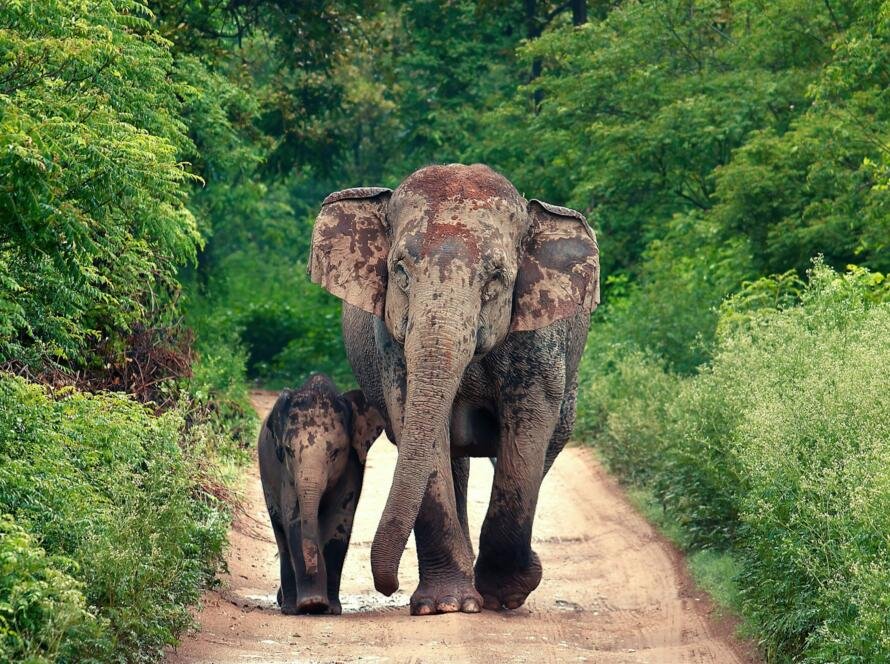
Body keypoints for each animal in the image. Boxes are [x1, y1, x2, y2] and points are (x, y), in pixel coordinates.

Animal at [256, 376, 382, 616]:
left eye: (334, 453)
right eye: (289, 451)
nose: (313, 567)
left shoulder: (351, 465)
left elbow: (338, 522)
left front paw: (328, 608)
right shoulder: (286, 472)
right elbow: (294, 521)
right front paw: (311, 604)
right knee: (281, 534)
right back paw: (288, 607)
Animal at [306, 163, 596, 616]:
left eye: (496, 279)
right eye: (401, 271)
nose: (387, 586)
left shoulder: (539, 339)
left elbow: (529, 429)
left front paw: (505, 594)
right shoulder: (391, 345)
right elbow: (413, 419)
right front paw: (444, 605)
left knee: (549, 446)